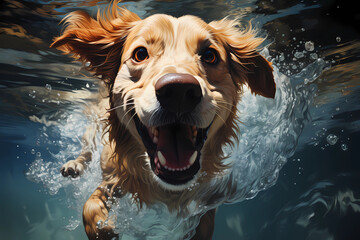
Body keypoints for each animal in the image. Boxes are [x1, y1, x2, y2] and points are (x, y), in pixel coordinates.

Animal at [50, 1, 276, 238]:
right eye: (140, 54)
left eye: (210, 55)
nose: (179, 91)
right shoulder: (112, 179)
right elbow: (90, 206)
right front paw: (105, 229)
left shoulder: (209, 199)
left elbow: (204, 225)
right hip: (92, 129)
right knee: (86, 151)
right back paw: (74, 166)